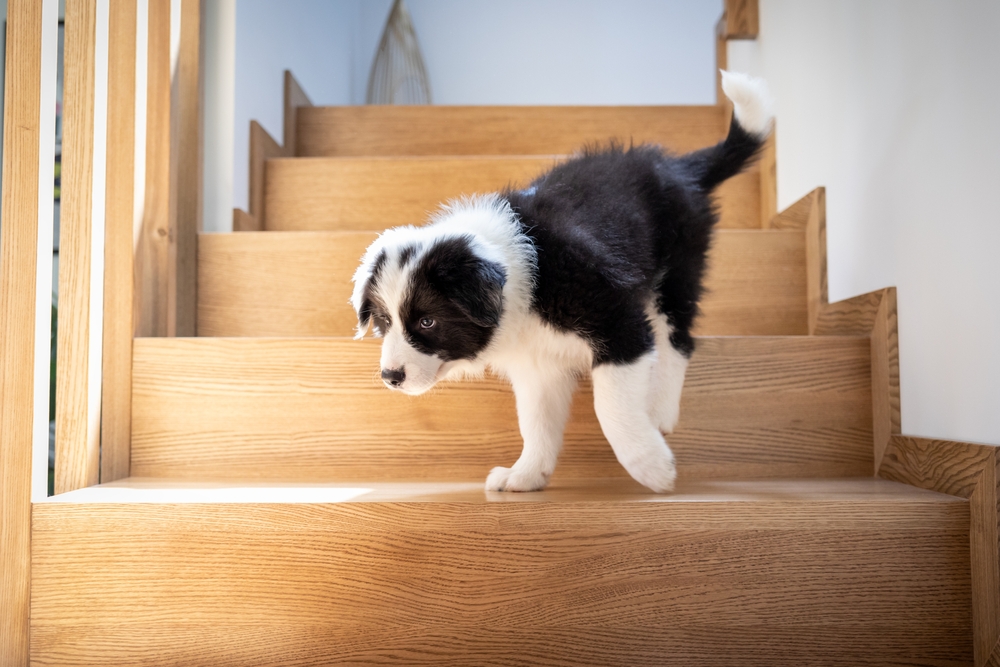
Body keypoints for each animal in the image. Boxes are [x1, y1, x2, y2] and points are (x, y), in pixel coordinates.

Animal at [352, 73, 772, 494]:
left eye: (427, 322)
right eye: (384, 323)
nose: (390, 378)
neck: (521, 274)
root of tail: (675, 167)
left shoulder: (616, 318)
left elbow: (609, 405)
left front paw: (651, 466)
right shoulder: (537, 366)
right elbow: (535, 421)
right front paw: (525, 475)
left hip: (677, 267)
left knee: (677, 338)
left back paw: (659, 410)